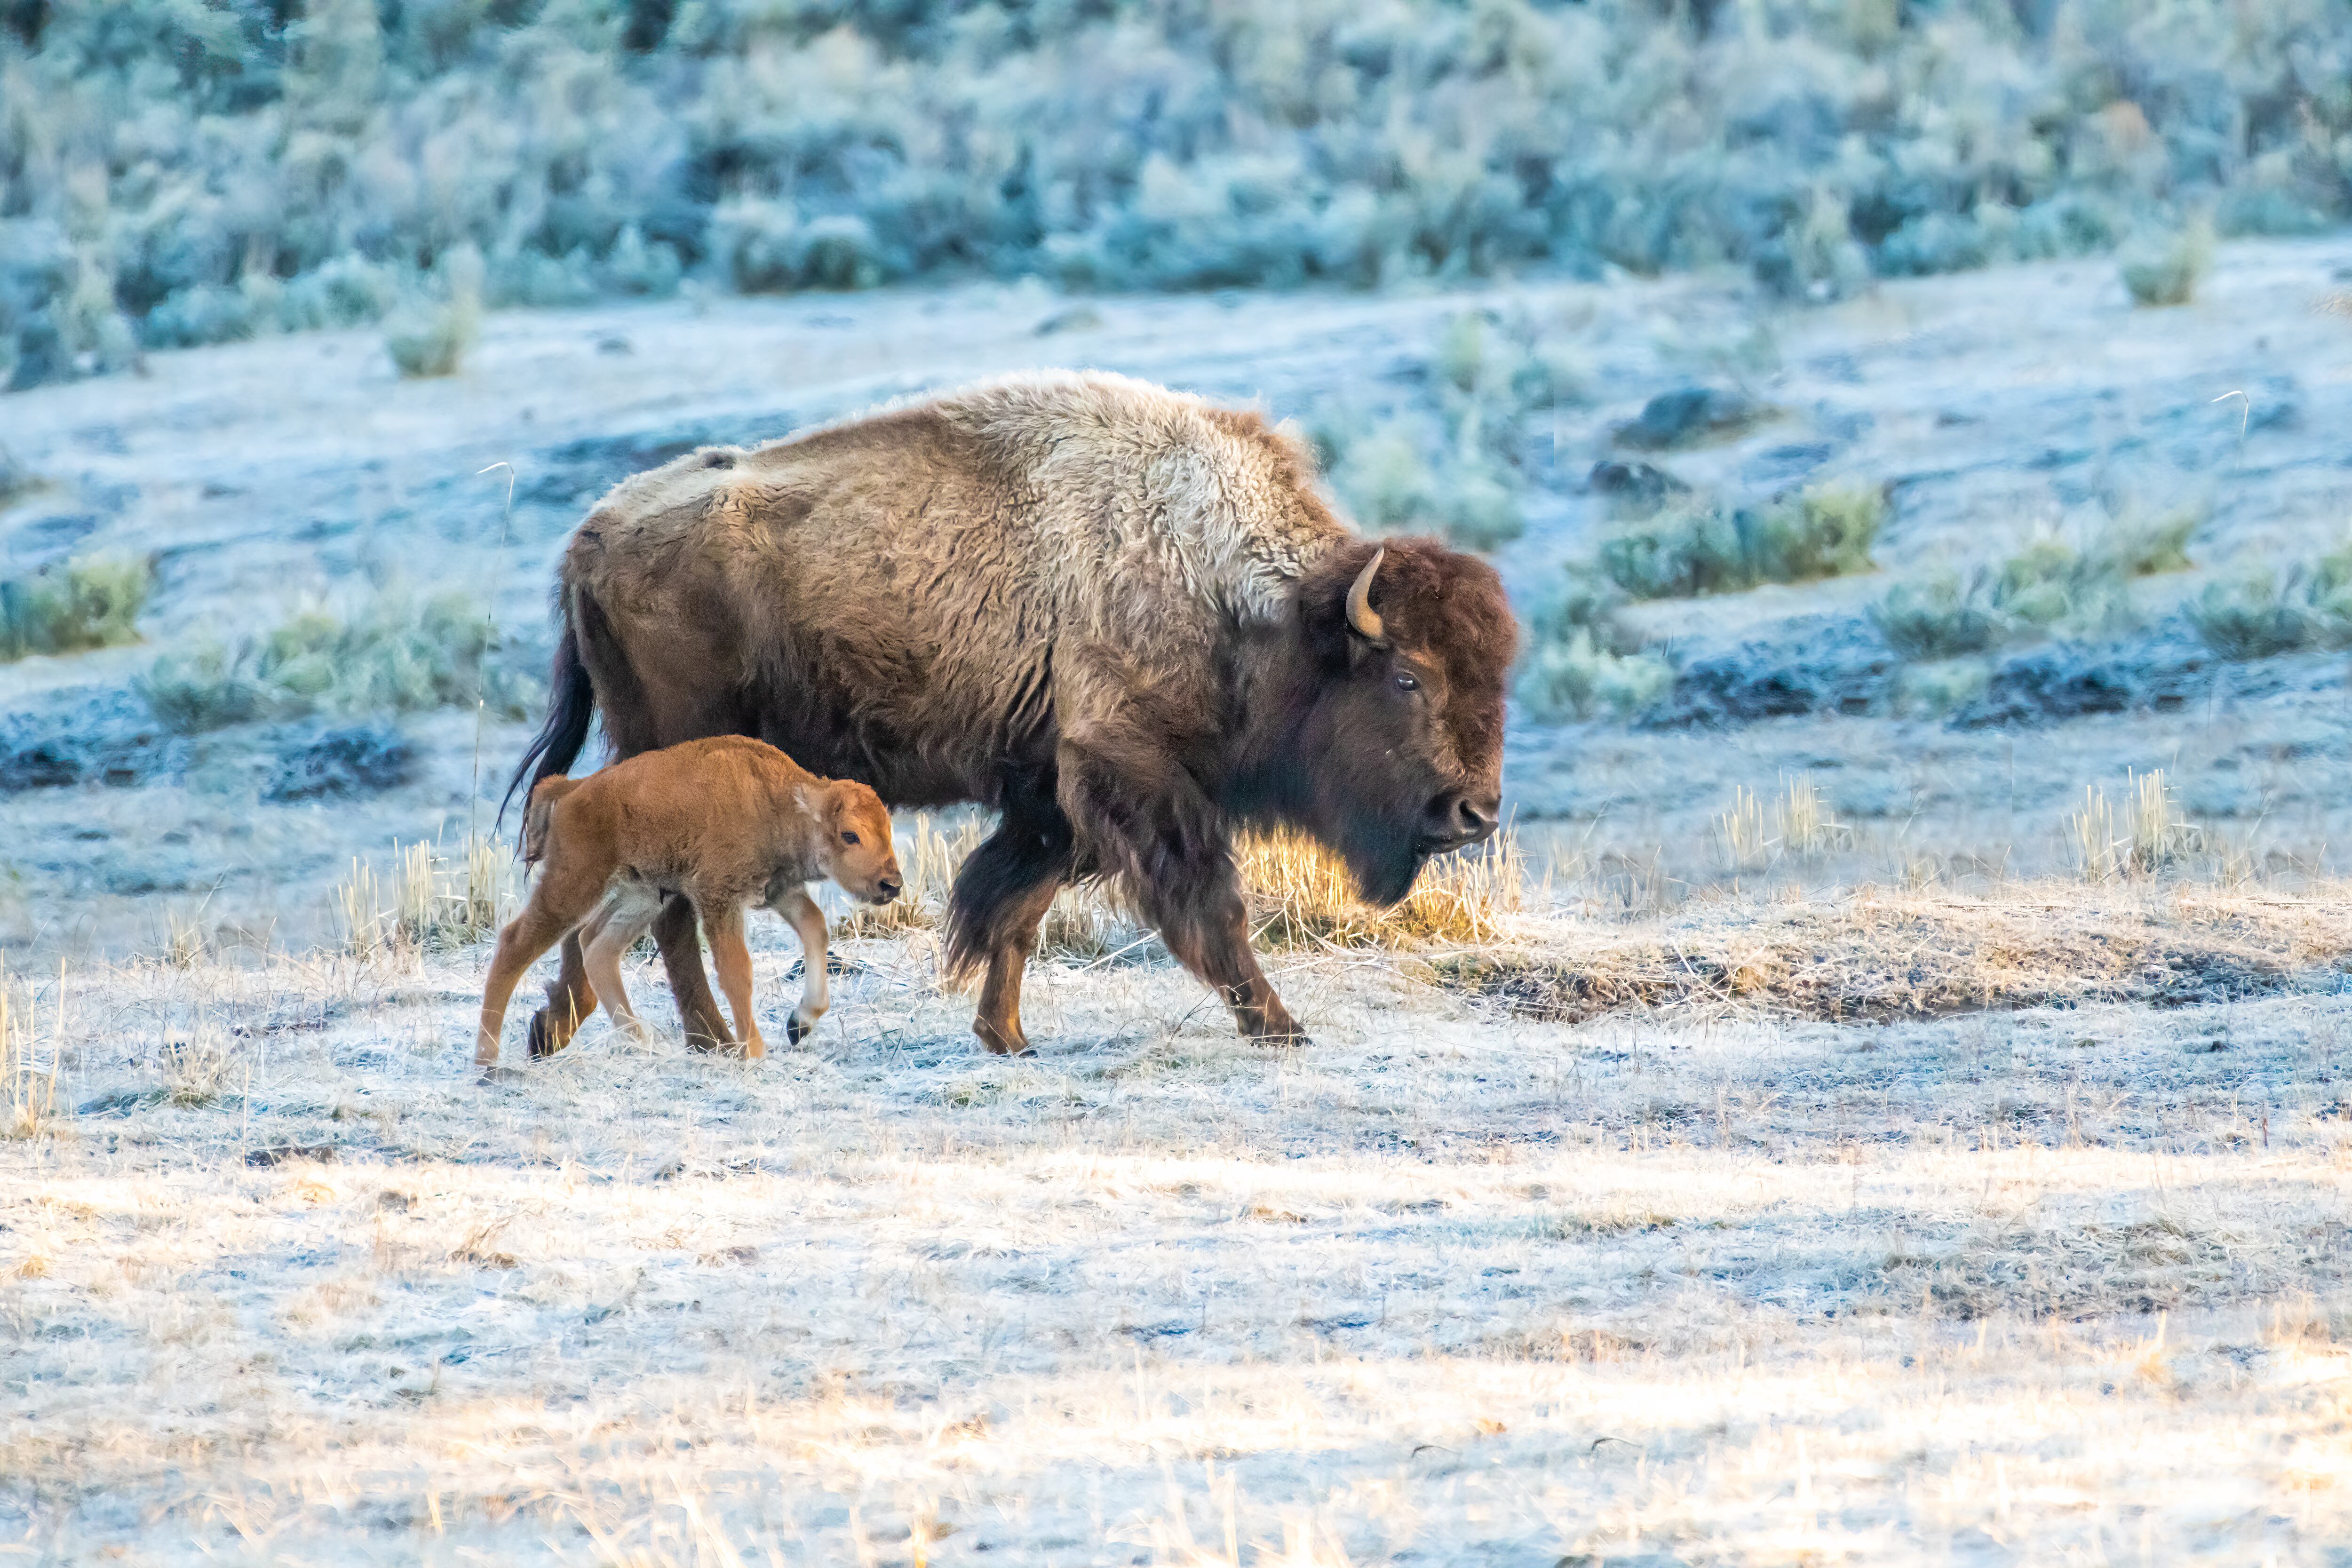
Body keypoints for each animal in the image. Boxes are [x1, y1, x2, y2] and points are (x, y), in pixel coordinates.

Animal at [508, 370, 1517, 1057]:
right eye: (1408, 678)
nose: (1476, 812)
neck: (1235, 592)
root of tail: (590, 538)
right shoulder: (1133, 777)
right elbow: (1211, 909)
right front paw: (1280, 1026)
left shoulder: (1054, 795)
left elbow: (1016, 912)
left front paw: (1007, 1035)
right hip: (674, 752)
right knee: (661, 901)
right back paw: (696, 1035)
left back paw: (578, 1025)